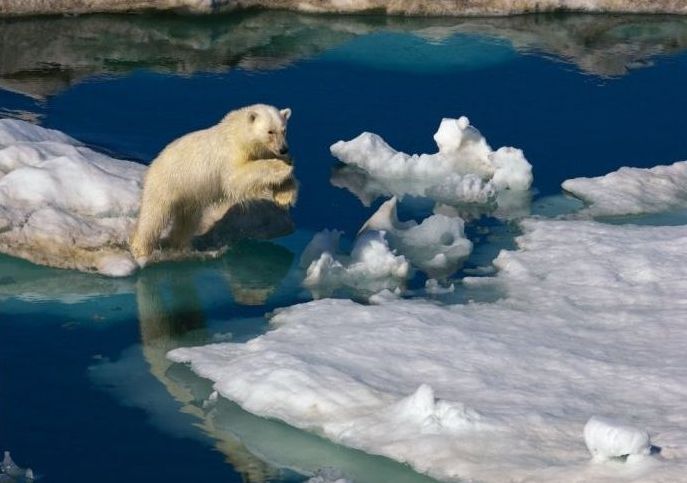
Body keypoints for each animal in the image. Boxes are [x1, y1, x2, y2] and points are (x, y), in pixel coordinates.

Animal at [130, 103, 296, 266]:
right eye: (270, 131)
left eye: (284, 130)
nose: (284, 148)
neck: (238, 132)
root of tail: (154, 163)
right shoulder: (231, 152)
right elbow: (237, 178)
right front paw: (282, 168)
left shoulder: (261, 151)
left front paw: (284, 195)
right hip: (166, 184)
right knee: (153, 217)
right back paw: (141, 250)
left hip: (189, 195)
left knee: (187, 221)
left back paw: (181, 246)